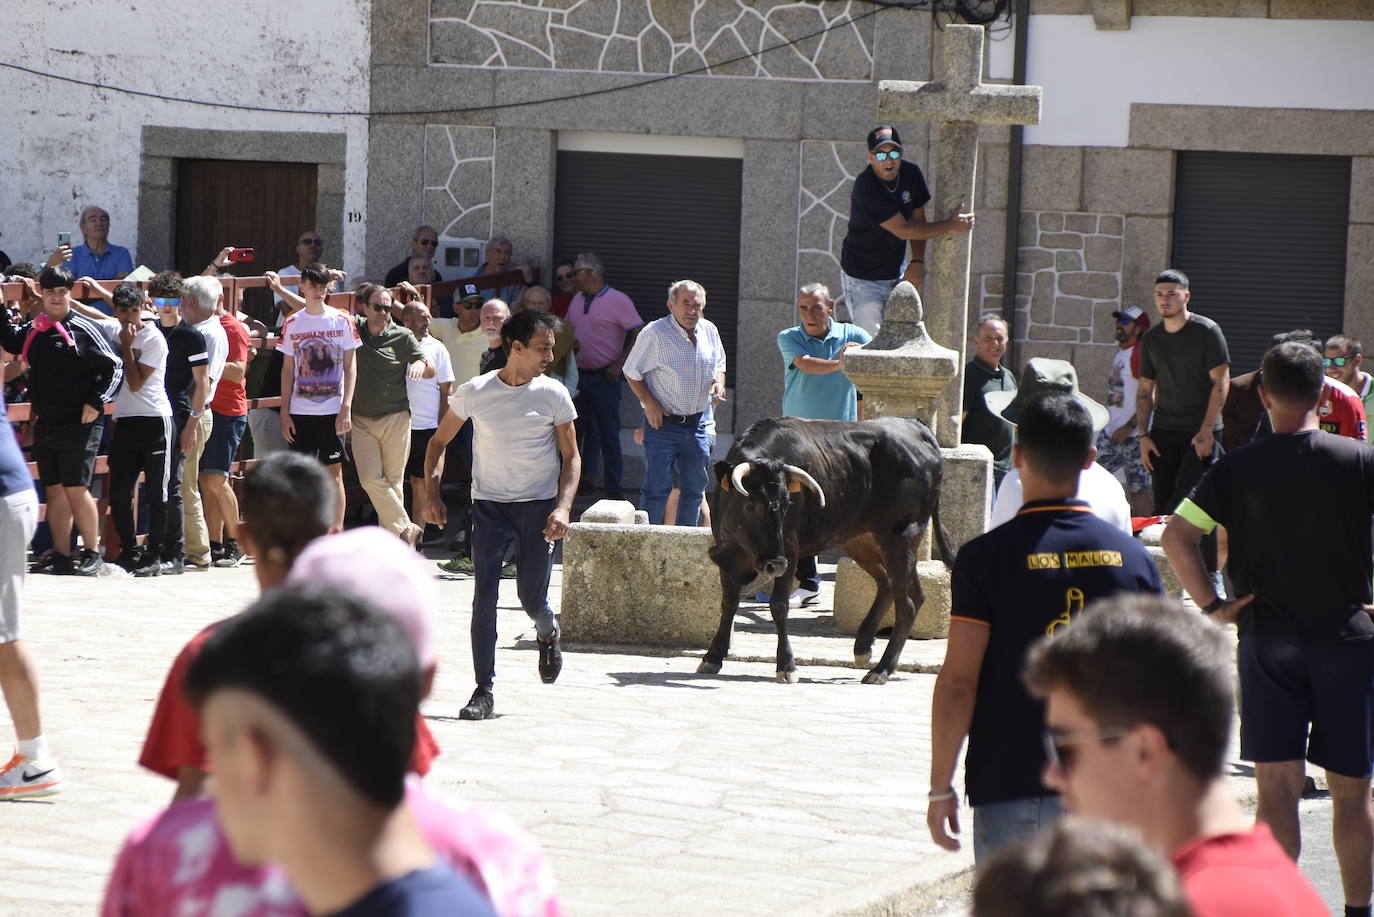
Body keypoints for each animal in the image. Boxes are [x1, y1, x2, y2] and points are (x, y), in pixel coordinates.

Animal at [703, 415, 950, 681]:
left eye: (788, 504)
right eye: (750, 504)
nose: (775, 564)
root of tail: (915, 426)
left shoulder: (790, 549)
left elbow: (779, 605)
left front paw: (787, 665)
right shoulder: (723, 546)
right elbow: (729, 603)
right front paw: (712, 657)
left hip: (901, 538)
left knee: (906, 603)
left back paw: (881, 669)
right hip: (862, 541)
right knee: (892, 586)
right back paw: (863, 647)